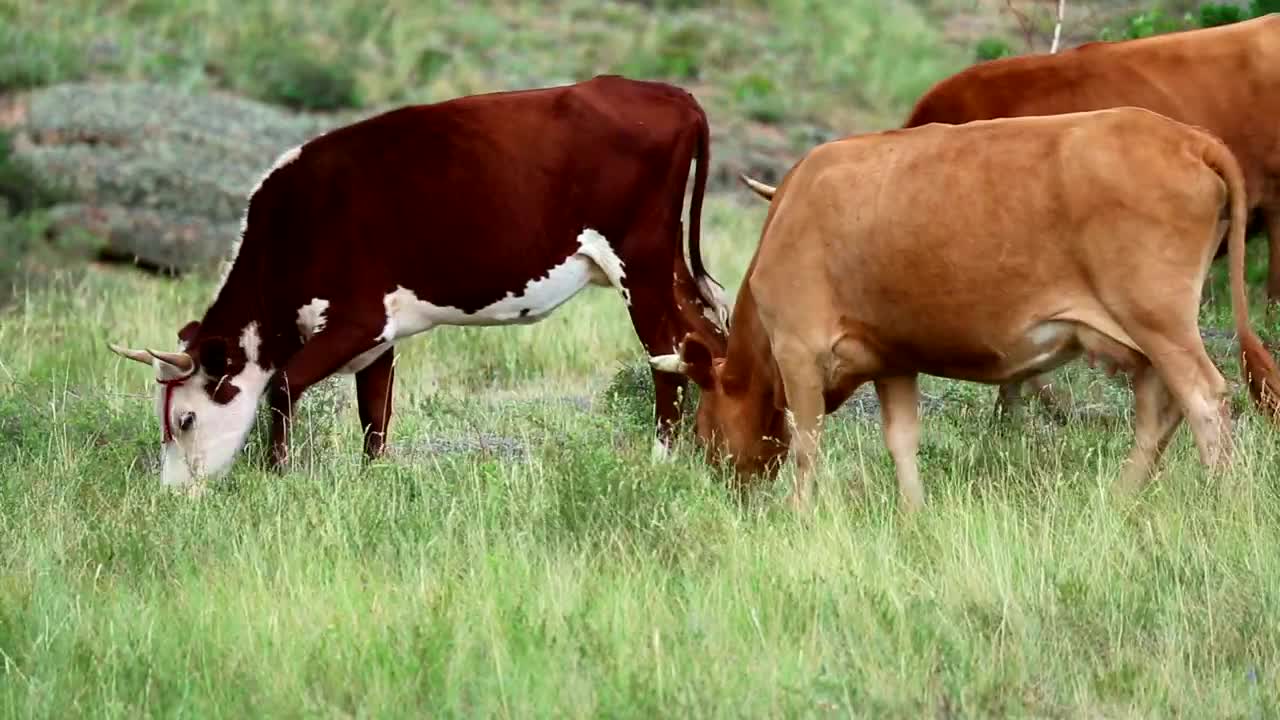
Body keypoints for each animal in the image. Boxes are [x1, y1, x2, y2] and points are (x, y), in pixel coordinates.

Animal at [107, 75, 731, 490]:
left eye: (185, 419)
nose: (173, 494)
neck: (295, 223)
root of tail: (669, 93)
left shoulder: (356, 319)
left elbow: (283, 386)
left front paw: (275, 475)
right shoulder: (380, 334)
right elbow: (374, 416)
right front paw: (372, 481)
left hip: (640, 262)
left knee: (667, 354)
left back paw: (662, 458)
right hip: (669, 266)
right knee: (709, 341)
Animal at [651, 107, 1280, 513]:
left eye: (701, 426)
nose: (724, 485)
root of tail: (1185, 137)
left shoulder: (799, 349)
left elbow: (806, 445)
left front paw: (801, 518)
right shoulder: (892, 359)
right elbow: (902, 441)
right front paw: (915, 516)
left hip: (1158, 322)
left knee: (1204, 400)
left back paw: (1224, 501)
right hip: (1144, 338)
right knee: (1158, 415)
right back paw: (1118, 505)